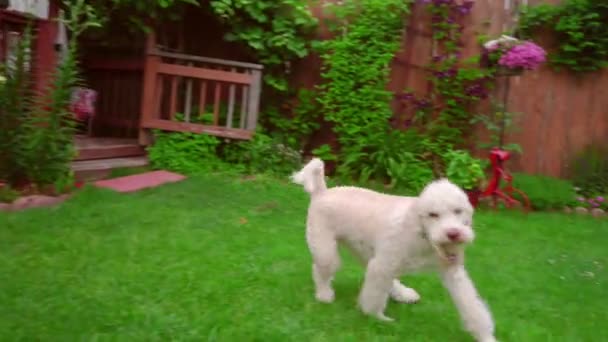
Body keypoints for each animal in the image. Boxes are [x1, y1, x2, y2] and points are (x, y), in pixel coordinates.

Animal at [292, 158, 496, 342]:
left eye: (458, 211)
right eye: (433, 214)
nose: (453, 234)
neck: (422, 234)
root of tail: (321, 192)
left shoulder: (453, 273)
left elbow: (472, 306)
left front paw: (485, 336)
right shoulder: (381, 266)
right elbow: (373, 298)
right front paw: (376, 318)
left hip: (365, 252)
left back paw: (403, 294)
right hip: (328, 253)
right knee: (321, 271)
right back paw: (324, 295)